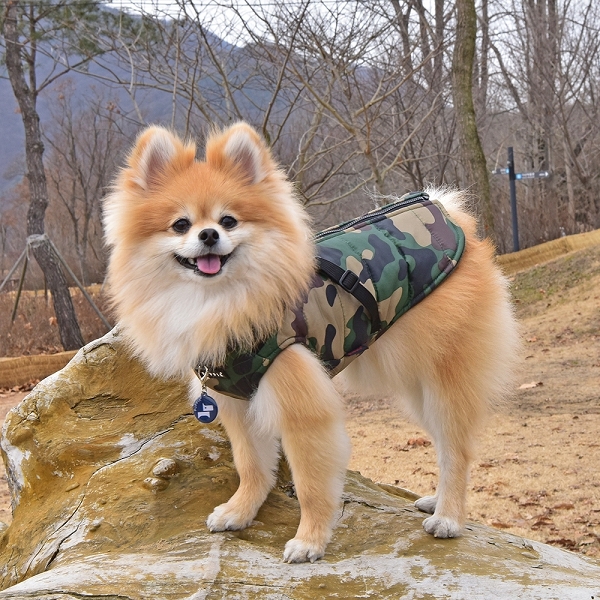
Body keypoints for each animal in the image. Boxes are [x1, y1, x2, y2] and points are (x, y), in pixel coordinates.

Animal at [103, 122, 520, 564]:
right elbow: (251, 465)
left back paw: (449, 517)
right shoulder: (237, 402)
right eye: (181, 225)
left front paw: (310, 540)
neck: (219, 301)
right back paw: (436, 501)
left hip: (444, 378)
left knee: (455, 449)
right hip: (416, 386)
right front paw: (241, 511)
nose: (210, 234)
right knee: (442, 442)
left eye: (229, 220)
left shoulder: (301, 407)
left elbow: (310, 484)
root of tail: (448, 214)